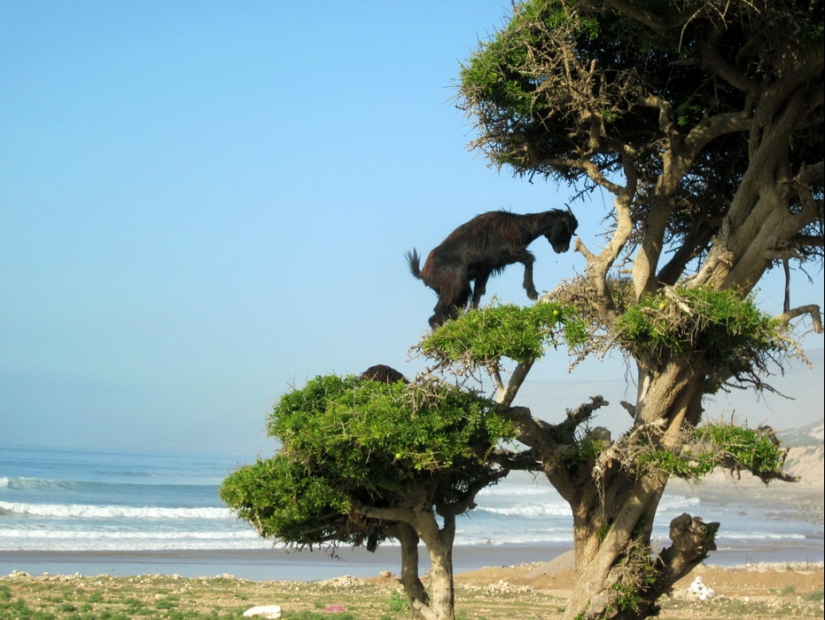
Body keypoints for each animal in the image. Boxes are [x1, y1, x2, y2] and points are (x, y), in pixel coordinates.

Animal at [406, 208, 578, 328]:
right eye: (567, 229)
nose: (564, 249)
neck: (520, 226)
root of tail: (422, 273)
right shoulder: (507, 252)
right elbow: (530, 259)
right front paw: (531, 293)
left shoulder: (486, 270)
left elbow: (479, 293)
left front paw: (474, 316)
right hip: (455, 286)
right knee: (436, 317)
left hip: (455, 291)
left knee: (443, 313)